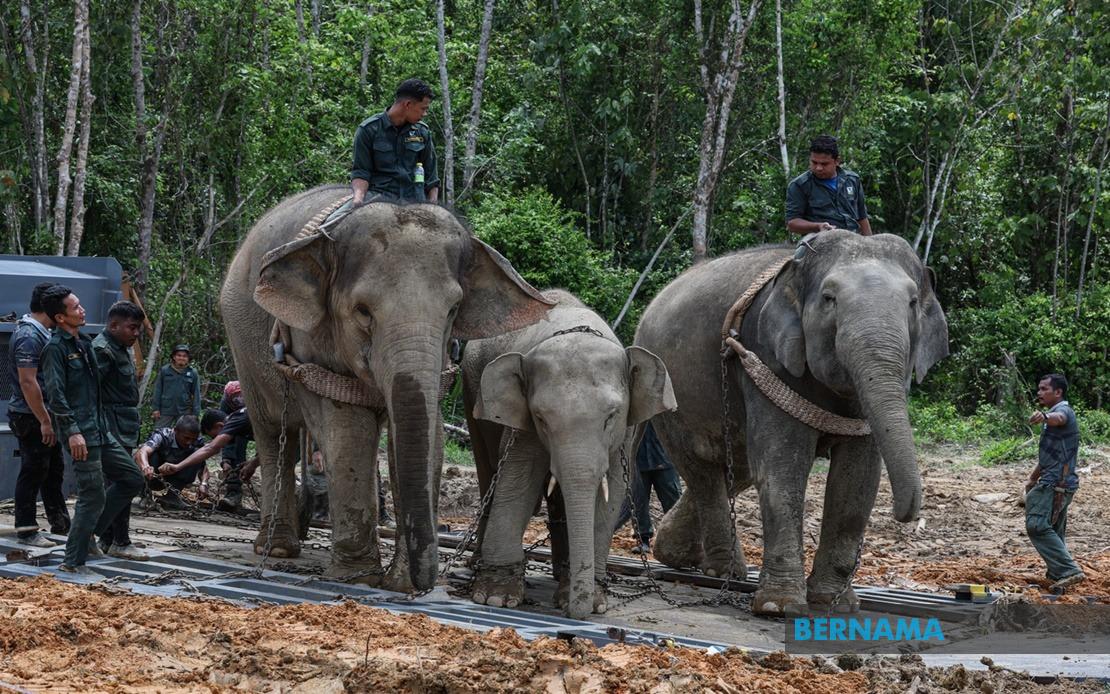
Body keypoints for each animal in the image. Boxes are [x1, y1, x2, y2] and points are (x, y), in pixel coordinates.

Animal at [218, 185, 552, 590]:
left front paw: (400, 583)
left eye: (453, 310)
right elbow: (347, 431)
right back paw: (279, 547)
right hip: (242, 342)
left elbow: (427, 435)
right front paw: (359, 577)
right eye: (362, 311)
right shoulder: (311, 340)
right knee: (270, 432)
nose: (427, 583)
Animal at [461, 286, 674, 617]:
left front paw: (594, 601)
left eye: (611, 416)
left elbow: (610, 492)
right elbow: (518, 481)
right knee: (489, 473)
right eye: (541, 418)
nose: (576, 613)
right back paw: (476, 563)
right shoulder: (522, 425)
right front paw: (495, 598)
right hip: (471, 394)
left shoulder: (625, 433)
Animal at [634, 229, 945, 612]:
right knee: (703, 469)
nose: (908, 517)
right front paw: (779, 607)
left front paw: (835, 603)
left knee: (735, 469)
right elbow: (782, 466)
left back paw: (676, 554)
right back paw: (724, 572)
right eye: (829, 299)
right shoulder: (766, 356)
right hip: (670, 394)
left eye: (913, 302)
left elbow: (857, 478)